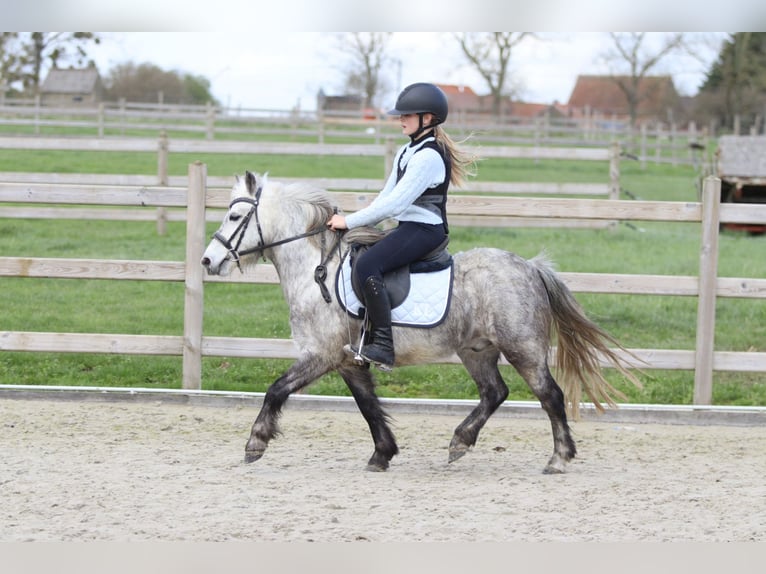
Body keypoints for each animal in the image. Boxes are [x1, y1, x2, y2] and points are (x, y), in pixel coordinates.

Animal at [201, 171, 642, 473]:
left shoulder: (321, 354)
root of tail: (530, 267)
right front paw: (382, 454)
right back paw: (460, 441)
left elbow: (276, 390)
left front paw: (255, 443)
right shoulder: (347, 360)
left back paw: (558, 458)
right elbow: (368, 406)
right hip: (476, 350)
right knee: (494, 392)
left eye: (235, 216)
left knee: (549, 395)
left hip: (523, 348)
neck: (316, 271)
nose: (208, 260)